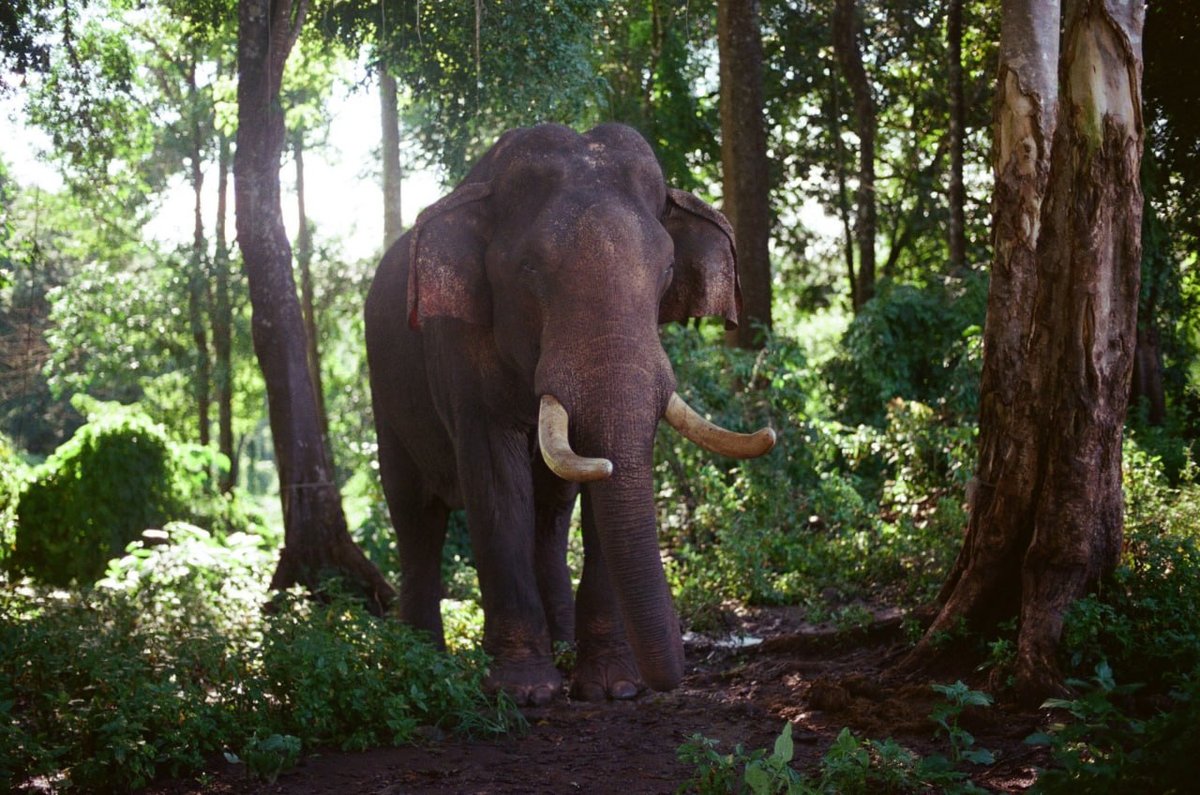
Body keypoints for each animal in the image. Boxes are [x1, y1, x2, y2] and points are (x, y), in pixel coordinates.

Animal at [365, 123, 775, 705]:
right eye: (530, 269)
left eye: (668, 270)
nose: (674, 669)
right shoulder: (459, 347)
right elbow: (497, 481)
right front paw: (525, 692)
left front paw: (613, 687)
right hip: (386, 394)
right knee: (416, 516)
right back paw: (425, 661)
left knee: (551, 514)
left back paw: (558, 643)